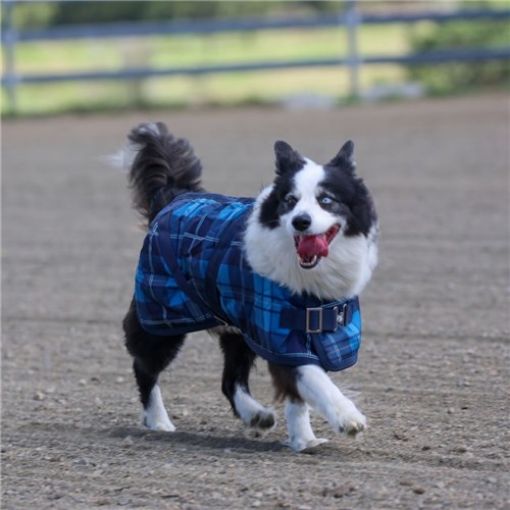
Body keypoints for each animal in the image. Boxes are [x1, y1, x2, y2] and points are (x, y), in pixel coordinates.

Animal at [117, 121, 376, 452]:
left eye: (326, 200)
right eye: (289, 201)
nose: (301, 222)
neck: (307, 283)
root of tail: (174, 196)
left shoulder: (296, 331)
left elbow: (298, 393)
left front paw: (304, 440)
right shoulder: (277, 332)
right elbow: (313, 377)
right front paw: (347, 417)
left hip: (237, 328)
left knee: (230, 379)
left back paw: (256, 415)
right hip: (162, 316)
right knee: (145, 366)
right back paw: (159, 421)